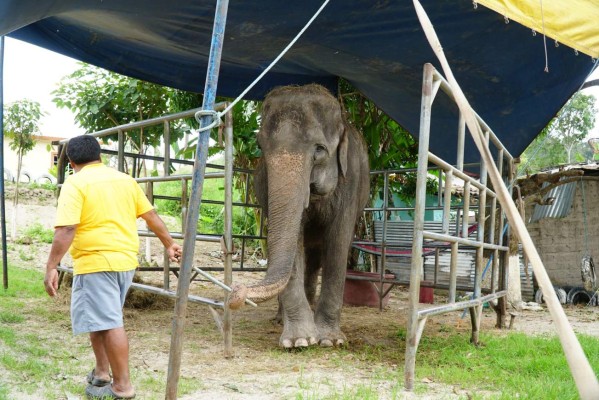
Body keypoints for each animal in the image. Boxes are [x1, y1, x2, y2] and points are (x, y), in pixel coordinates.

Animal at [230, 83, 370, 348]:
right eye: (260, 147)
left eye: (319, 150)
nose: (236, 290)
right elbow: (294, 241)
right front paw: (299, 341)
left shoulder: (352, 181)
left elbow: (338, 242)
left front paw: (330, 341)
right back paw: (280, 319)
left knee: (316, 258)